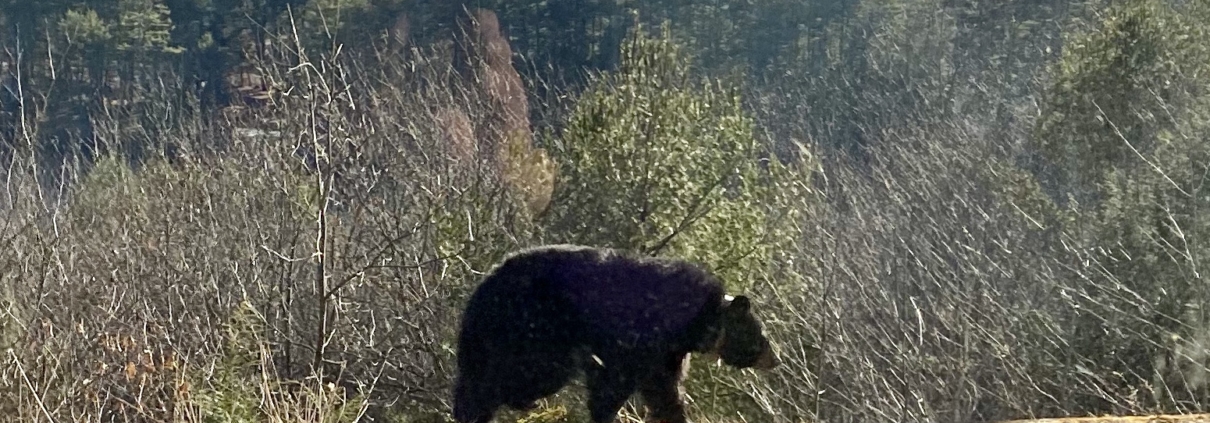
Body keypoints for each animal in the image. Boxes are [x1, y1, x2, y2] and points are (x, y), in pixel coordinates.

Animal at [450, 244, 779, 423]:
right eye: (761, 335)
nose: (775, 358)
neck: (699, 322)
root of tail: (484, 287)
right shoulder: (641, 337)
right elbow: (619, 382)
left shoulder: (667, 353)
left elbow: (662, 389)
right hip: (531, 331)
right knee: (507, 378)